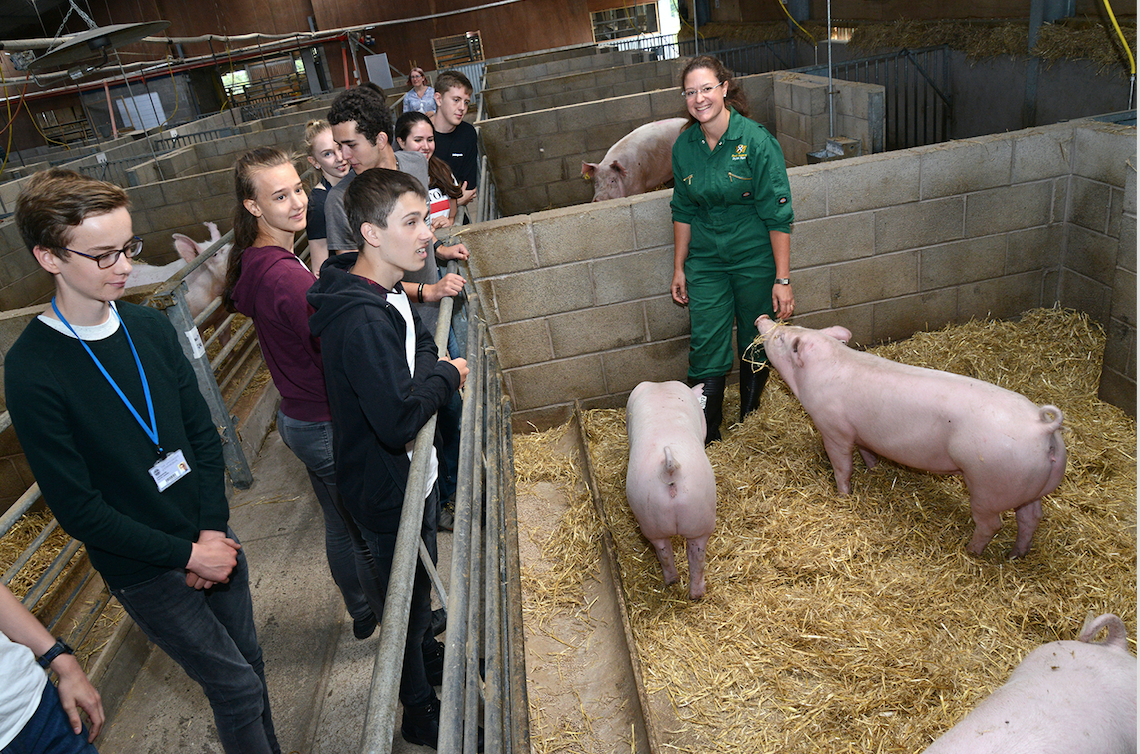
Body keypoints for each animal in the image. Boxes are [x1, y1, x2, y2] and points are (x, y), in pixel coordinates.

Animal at [629, 383, 715, 597]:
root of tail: (669, 467)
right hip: (703, 516)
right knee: (697, 556)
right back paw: (698, 594)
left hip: (651, 515)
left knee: (665, 552)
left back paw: (675, 582)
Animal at [756, 312, 1067, 558]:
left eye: (781, 336)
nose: (762, 317)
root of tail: (1042, 427)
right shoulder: (862, 433)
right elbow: (867, 451)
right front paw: (873, 469)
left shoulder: (833, 429)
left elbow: (842, 466)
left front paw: (843, 495)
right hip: (1028, 486)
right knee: (1031, 517)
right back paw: (1015, 555)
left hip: (989, 484)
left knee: (992, 524)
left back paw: (970, 551)